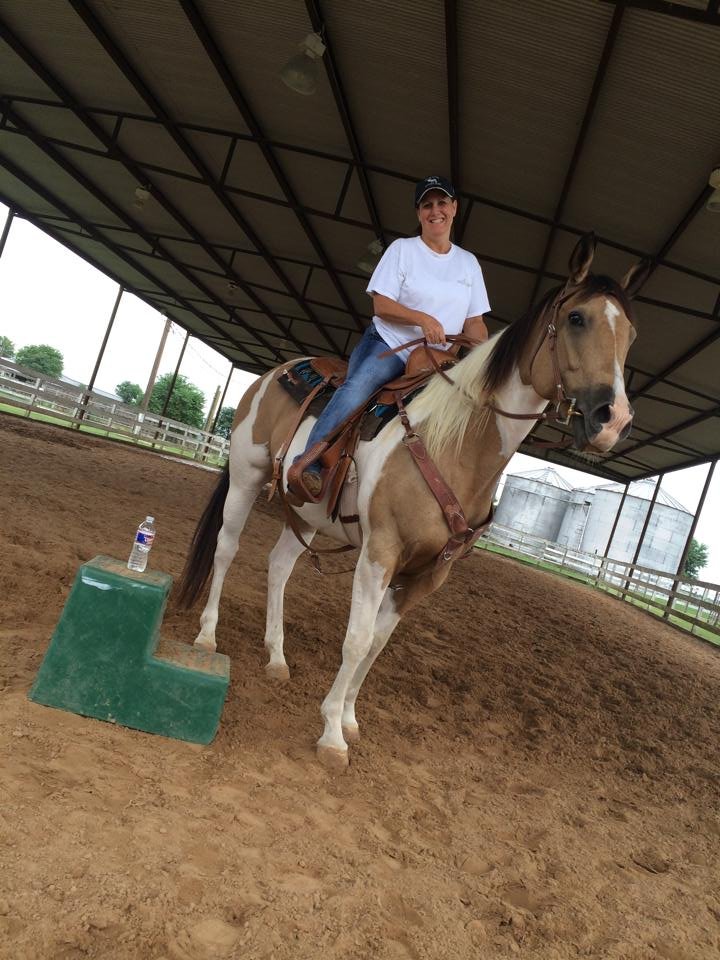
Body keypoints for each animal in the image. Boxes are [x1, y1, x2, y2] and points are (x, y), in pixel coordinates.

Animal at [178, 234, 645, 770]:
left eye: (630, 333)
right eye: (577, 318)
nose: (613, 420)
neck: (451, 446)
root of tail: (275, 373)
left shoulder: (427, 574)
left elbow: (378, 644)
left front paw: (349, 719)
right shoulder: (380, 553)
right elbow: (358, 639)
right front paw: (331, 735)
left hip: (307, 515)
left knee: (279, 566)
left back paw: (277, 657)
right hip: (244, 479)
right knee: (226, 548)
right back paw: (207, 635)